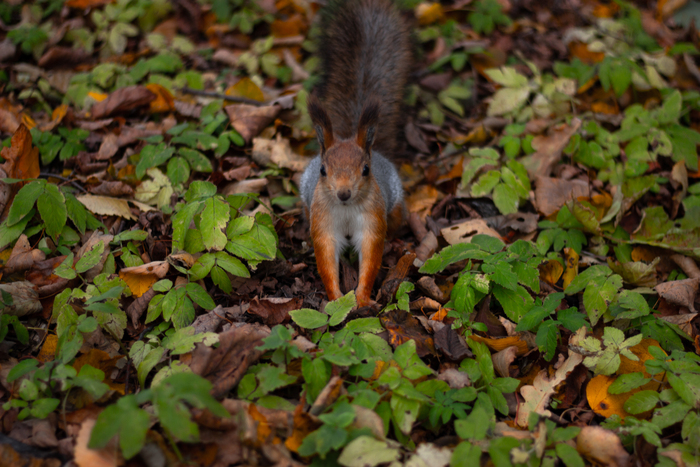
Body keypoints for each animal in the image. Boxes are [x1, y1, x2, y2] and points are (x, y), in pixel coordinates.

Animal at [300, 0, 410, 308]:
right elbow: (326, 257)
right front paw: (336, 297)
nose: (344, 193)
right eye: (323, 170)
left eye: (365, 170)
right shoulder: (322, 221)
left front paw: (361, 297)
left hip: (393, 204)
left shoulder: (372, 221)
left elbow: (371, 257)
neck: (347, 209)